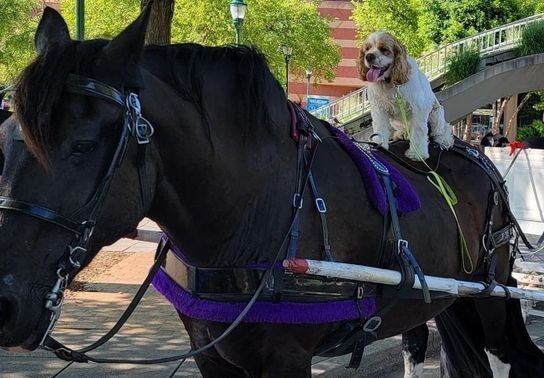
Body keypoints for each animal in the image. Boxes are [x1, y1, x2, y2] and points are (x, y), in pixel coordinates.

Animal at [356, 31, 454, 161]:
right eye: (366, 49)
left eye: (384, 49)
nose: (369, 56)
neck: (389, 83)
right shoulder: (379, 110)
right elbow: (380, 128)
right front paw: (378, 145)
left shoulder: (418, 109)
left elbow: (418, 132)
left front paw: (417, 154)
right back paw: (402, 134)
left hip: (436, 114)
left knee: (443, 129)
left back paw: (444, 140)